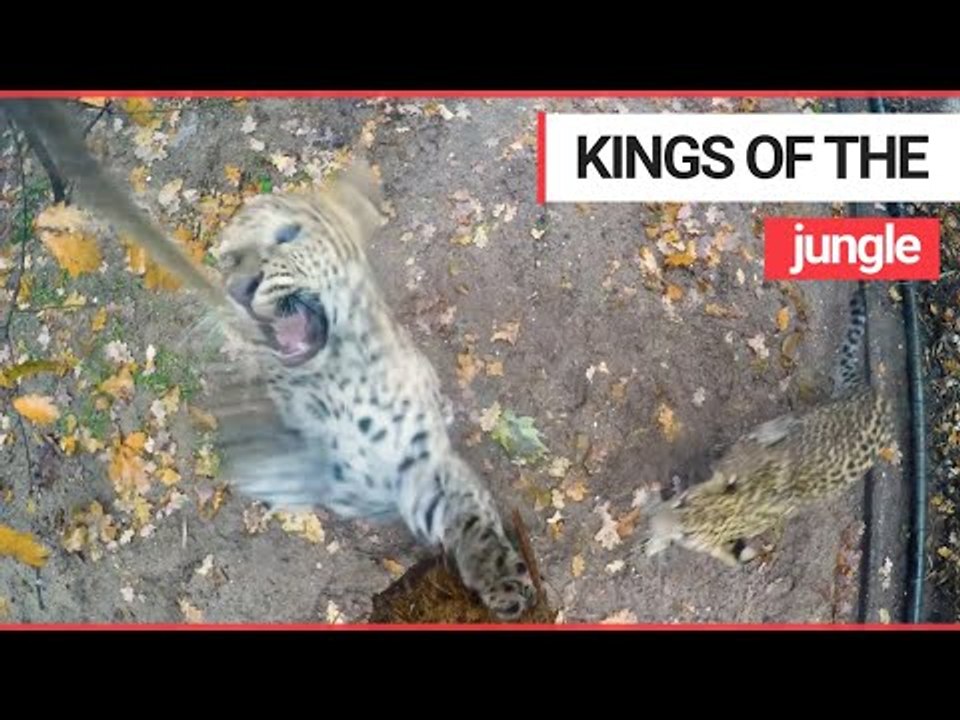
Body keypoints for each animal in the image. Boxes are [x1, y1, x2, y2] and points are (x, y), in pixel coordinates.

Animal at [211, 160, 536, 620]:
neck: (337, 379)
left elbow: (466, 513)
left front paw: (502, 581)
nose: (238, 290)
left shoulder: (421, 456)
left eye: (287, 235)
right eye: (227, 261)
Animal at [642, 289, 895, 567]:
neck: (749, 501)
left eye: (687, 536)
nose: (652, 522)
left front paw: (656, 536)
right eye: (683, 503)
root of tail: (875, 393)